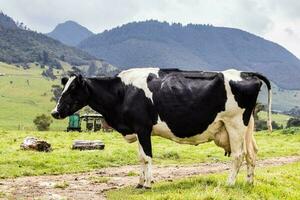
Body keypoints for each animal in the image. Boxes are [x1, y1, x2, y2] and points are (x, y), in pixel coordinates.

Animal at [51, 68, 272, 188]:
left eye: (73, 89)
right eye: (64, 88)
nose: (55, 112)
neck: (123, 92)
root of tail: (244, 73)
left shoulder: (143, 128)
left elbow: (147, 157)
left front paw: (148, 184)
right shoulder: (137, 129)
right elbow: (141, 157)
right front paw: (139, 183)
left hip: (235, 124)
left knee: (238, 155)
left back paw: (230, 183)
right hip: (246, 126)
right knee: (252, 153)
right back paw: (249, 183)